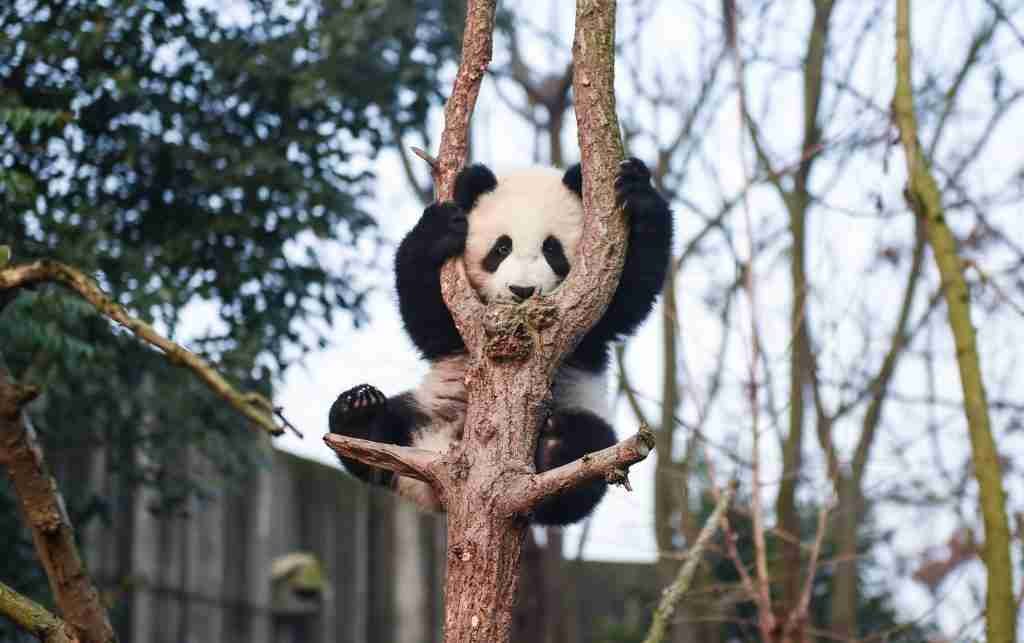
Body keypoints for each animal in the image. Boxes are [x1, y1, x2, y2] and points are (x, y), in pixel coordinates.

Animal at [327, 158, 675, 524]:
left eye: (551, 248)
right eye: (501, 247)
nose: (521, 290)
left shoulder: (590, 319)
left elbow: (629, 297)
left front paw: (637, 189)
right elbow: (427, 319)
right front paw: (439, 229)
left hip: (584, 417)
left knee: (586, 452)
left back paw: (555, 447)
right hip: (425, 410)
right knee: (378, 434)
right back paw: (360, 410)